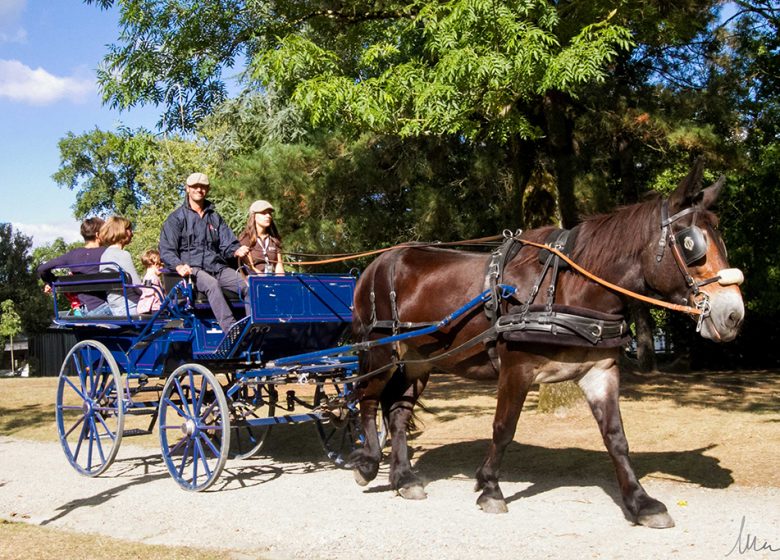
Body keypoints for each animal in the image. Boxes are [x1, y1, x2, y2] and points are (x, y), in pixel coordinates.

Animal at [348, 160, 744, 528]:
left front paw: (640, 502)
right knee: (366, 397)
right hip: (380, 351)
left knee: (397, 411)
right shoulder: (516, 368)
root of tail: (374, 265)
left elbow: (615, 436)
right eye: (690, 244)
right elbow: (503, 428)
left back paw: (404, 478)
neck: (569, 288)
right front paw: (489, 487)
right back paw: (368, 463)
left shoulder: (600, 371)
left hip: (419, 361)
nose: (733, 315)